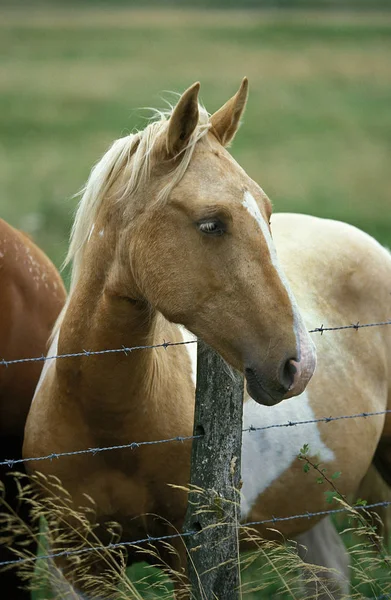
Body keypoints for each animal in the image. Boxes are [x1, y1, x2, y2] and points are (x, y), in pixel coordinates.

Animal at [23, 81, 390, 600]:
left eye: (267, 212)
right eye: (211, 223)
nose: (301, 366)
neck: (103, 421)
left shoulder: (190, 553)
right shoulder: (74, 560)